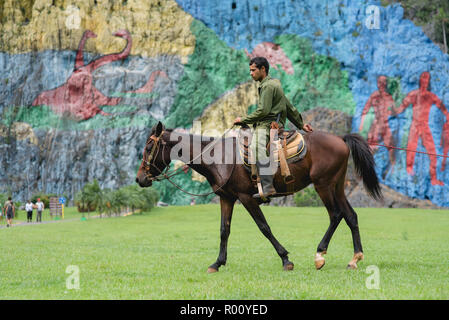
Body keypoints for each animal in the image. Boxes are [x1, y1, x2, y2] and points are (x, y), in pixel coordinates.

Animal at [136, 122, 382, 272]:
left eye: (148, 147)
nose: (140, 179)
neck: (219, 158)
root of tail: (340, 139)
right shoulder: (227, 198)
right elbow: (224, 230)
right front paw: (217, 263)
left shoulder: (247, 198)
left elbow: (264, 227)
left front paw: (286, 259)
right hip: (337, 186)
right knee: (351, 216)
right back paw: (355, 258)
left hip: (323, 185)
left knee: (336, 215)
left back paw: (320, 255)